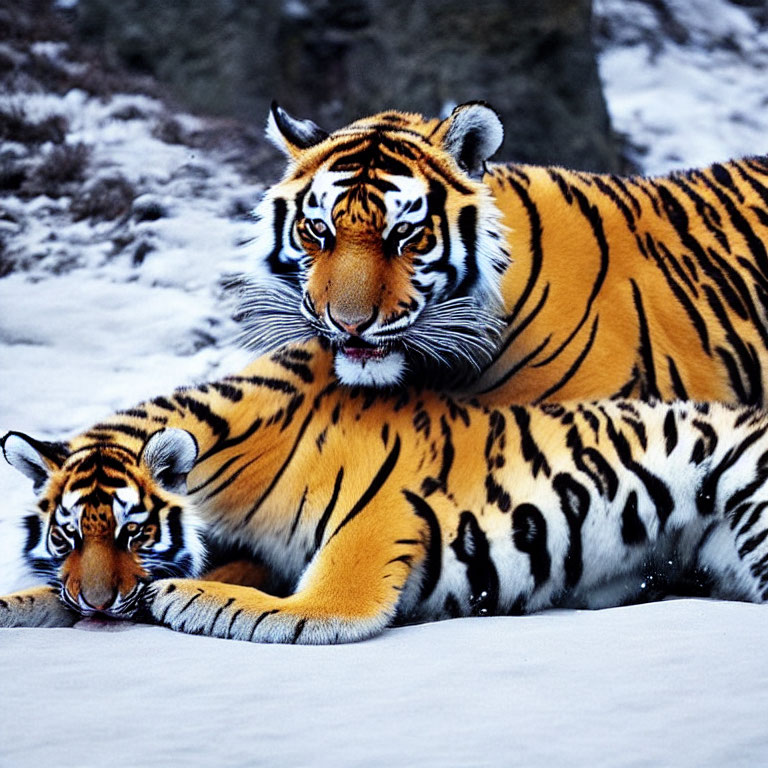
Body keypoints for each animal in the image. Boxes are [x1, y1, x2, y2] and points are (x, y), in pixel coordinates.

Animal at [1, 342, 768, 640]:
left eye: (133, 532)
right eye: (66, 537)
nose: (98, 604)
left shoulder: (358, 551)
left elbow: (286, 607)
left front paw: (182, 596)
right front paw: (21, 605)